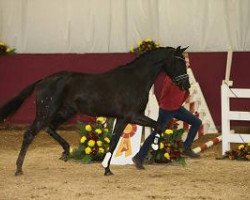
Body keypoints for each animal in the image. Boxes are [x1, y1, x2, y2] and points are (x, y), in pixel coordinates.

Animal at [0, 46, 189, 176]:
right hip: (46, 112)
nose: (186, 85)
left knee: (50, 128)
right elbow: (118, 140)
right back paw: (18, 169)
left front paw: (146, 156)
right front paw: (108, 169)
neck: (136, 80)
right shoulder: (130, 116)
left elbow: (157, 126)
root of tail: (42, 81)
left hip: (65, 112)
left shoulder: (128, 118)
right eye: (178, 62)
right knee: (30, 134)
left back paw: (65, 152)